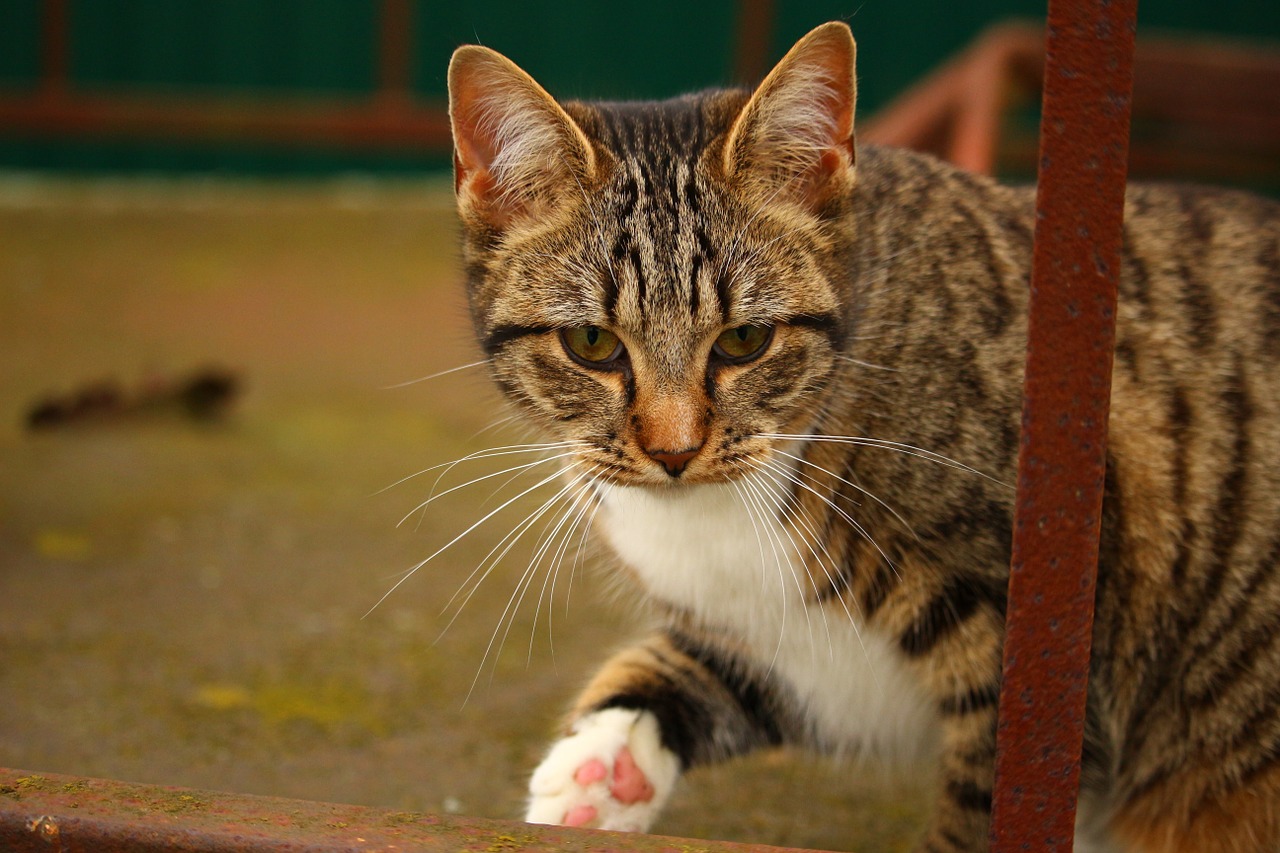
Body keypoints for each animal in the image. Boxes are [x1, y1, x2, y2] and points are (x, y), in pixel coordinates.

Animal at [442, 18, 1280, 850]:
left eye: (745, 340)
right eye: (591, 342)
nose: (673, 452)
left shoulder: (1032, 651)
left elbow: (986, 802)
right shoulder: (794, 655)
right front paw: (603, 769)